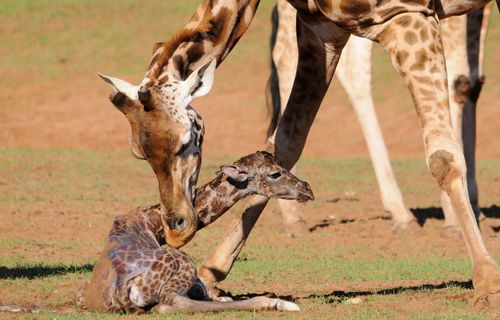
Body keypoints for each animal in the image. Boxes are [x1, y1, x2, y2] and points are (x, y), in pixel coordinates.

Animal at [75, 151, 312, 314]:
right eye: (275, 173)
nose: (307, 189)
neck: (153, 221)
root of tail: (123, 295)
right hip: (183, 263)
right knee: (170, 303)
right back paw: (278, 303)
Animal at [270, 0, 492, 240]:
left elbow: (471, 82)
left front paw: (475, 211)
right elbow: (458, 78)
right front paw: (454, 221)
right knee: (288, 52)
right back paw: (293, 214)